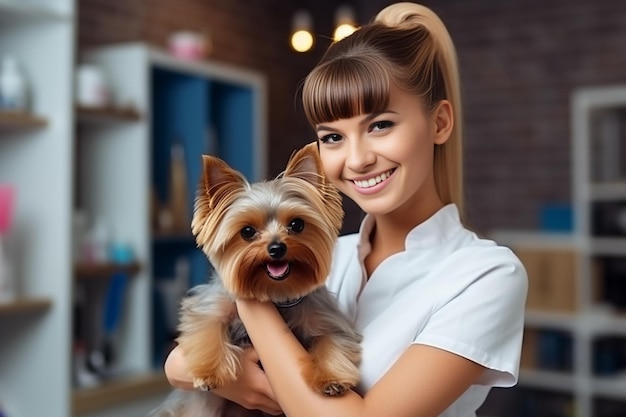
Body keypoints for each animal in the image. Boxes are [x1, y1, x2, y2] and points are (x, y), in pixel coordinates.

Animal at [151, 142, 360, 416]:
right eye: (247, 231)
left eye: (297, 224)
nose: (276, 248)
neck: (276, 294)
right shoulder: (210, 305)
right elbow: (206, 329)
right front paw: (209, 373)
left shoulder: (328, 320)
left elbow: (333, 341)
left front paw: (331, 379)